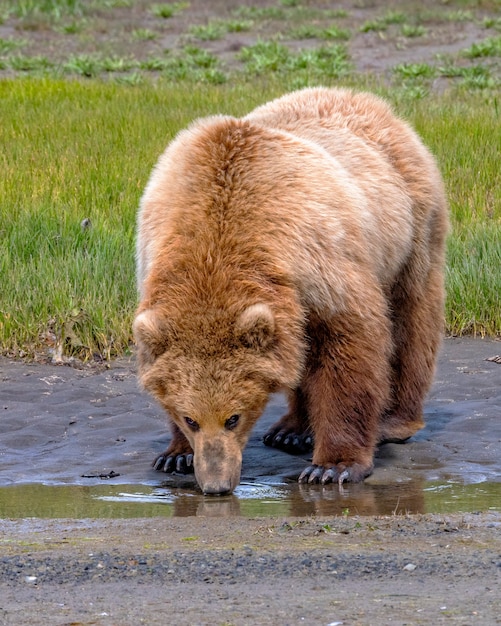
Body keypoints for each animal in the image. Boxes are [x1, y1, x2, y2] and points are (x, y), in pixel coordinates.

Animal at [134, 86, 450, 492]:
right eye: (191, 419)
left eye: (233, 418)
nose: (217, 484)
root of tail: (365, 99)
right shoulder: (155, 250)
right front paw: (176, 455)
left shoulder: (317, 258)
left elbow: (351, 342)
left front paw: (333, 466)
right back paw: (291, 430)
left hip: (410, 227)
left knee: (411, 319)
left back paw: (395, 420)